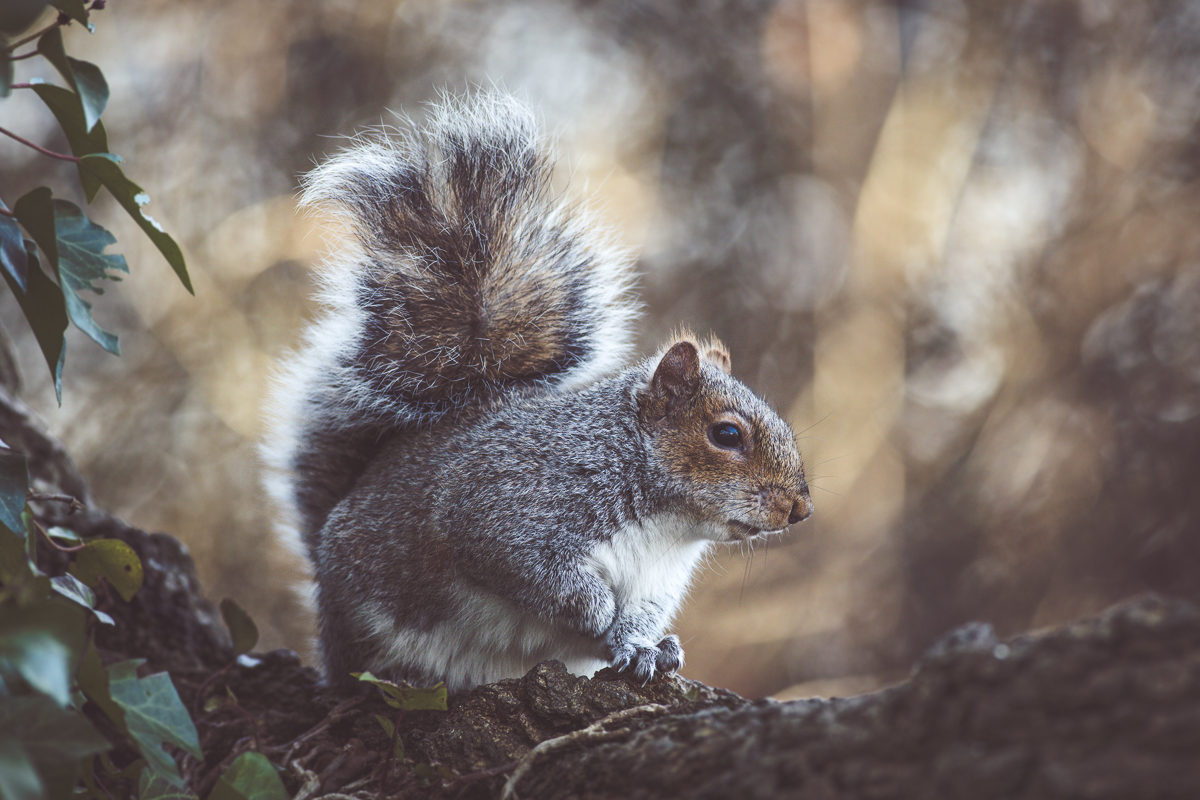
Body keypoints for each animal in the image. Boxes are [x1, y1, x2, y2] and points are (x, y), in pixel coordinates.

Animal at [265, 94, 816, 695]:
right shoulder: (507, 510)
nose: (800, 509)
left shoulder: (656, 580)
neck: (664, 523)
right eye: (727, 434)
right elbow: (542, 576)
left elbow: (637, 618)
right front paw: (599, 615)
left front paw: (645, 646)